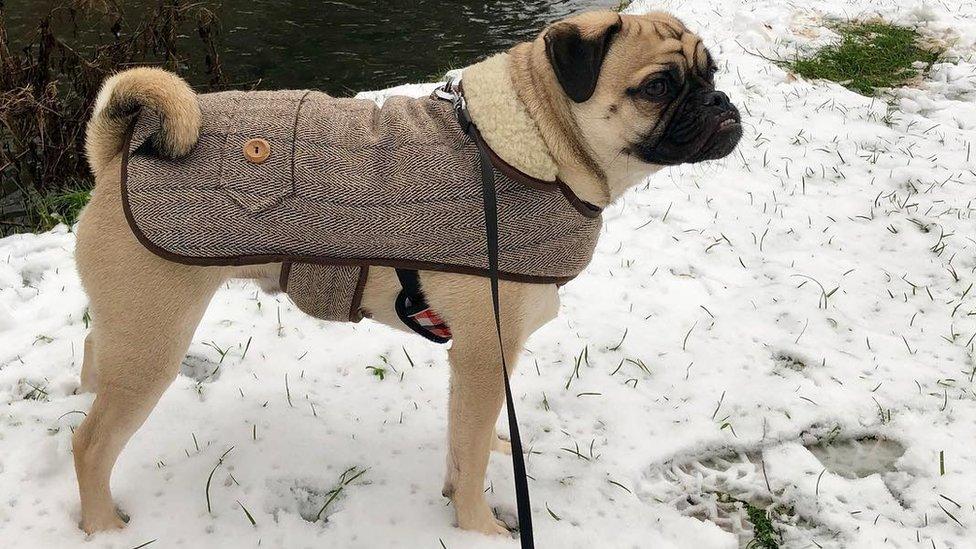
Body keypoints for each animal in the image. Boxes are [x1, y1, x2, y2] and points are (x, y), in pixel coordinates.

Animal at [74, 9, 740, 536]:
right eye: (659, 86)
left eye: (710, 74)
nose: (720, 102)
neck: (540, 145)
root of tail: (121, 150)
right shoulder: (485, 353)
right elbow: (469, 457)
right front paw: (478, 527)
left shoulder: (476, 365)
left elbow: (465, 441)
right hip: (153, 342)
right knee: (91, 445)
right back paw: (103, 524)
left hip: (129, 332)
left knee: (93, 356)